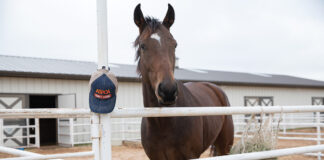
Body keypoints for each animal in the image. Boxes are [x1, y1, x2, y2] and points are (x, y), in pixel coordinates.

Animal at [133, 4, 234, 160]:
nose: (168, 91)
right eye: (143, 46)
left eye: (174, 45)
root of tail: (215, 89)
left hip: (224, 146)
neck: (163, 122)